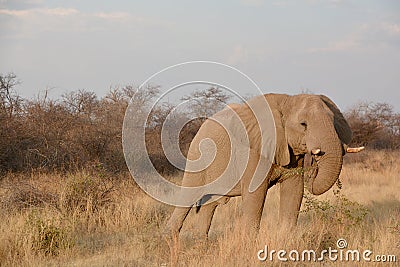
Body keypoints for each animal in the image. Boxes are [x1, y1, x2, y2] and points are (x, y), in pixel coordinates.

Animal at [164, 93, 364, 239]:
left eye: (333, 122)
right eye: (303, 124)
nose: (314, 163)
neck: (287, 101)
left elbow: (294, 189)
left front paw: (286, 239)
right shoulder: (255, 150)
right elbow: (255, 193)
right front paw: (249, 245)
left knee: (209, 205)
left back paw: (201, 244)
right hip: (196, 157)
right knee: (188, 196)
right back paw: (170, 242)